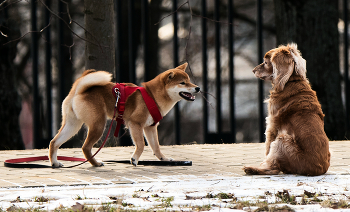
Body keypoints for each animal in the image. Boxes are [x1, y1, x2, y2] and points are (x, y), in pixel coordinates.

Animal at [49, 63, 200, 167]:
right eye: (183, 83)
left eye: (189, 81)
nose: (198, 88)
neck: (153, 96)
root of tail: (78, 90)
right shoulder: (135, 124)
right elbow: (141, 145)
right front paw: (134, 159)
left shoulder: (150, 127)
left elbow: (156, 147)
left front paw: (165, 159)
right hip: (98, 125)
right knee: (85, 147)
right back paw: (96, 163)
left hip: (72, 126)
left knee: (54, 142)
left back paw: (55, 163)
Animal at [245, 43, 330, 176]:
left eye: (266, 62)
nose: (253, 70)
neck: (291, 81)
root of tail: (319, 170)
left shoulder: (272, 125)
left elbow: (267, 148)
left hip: (283, 140)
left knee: (274, 168)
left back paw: (253, 169)